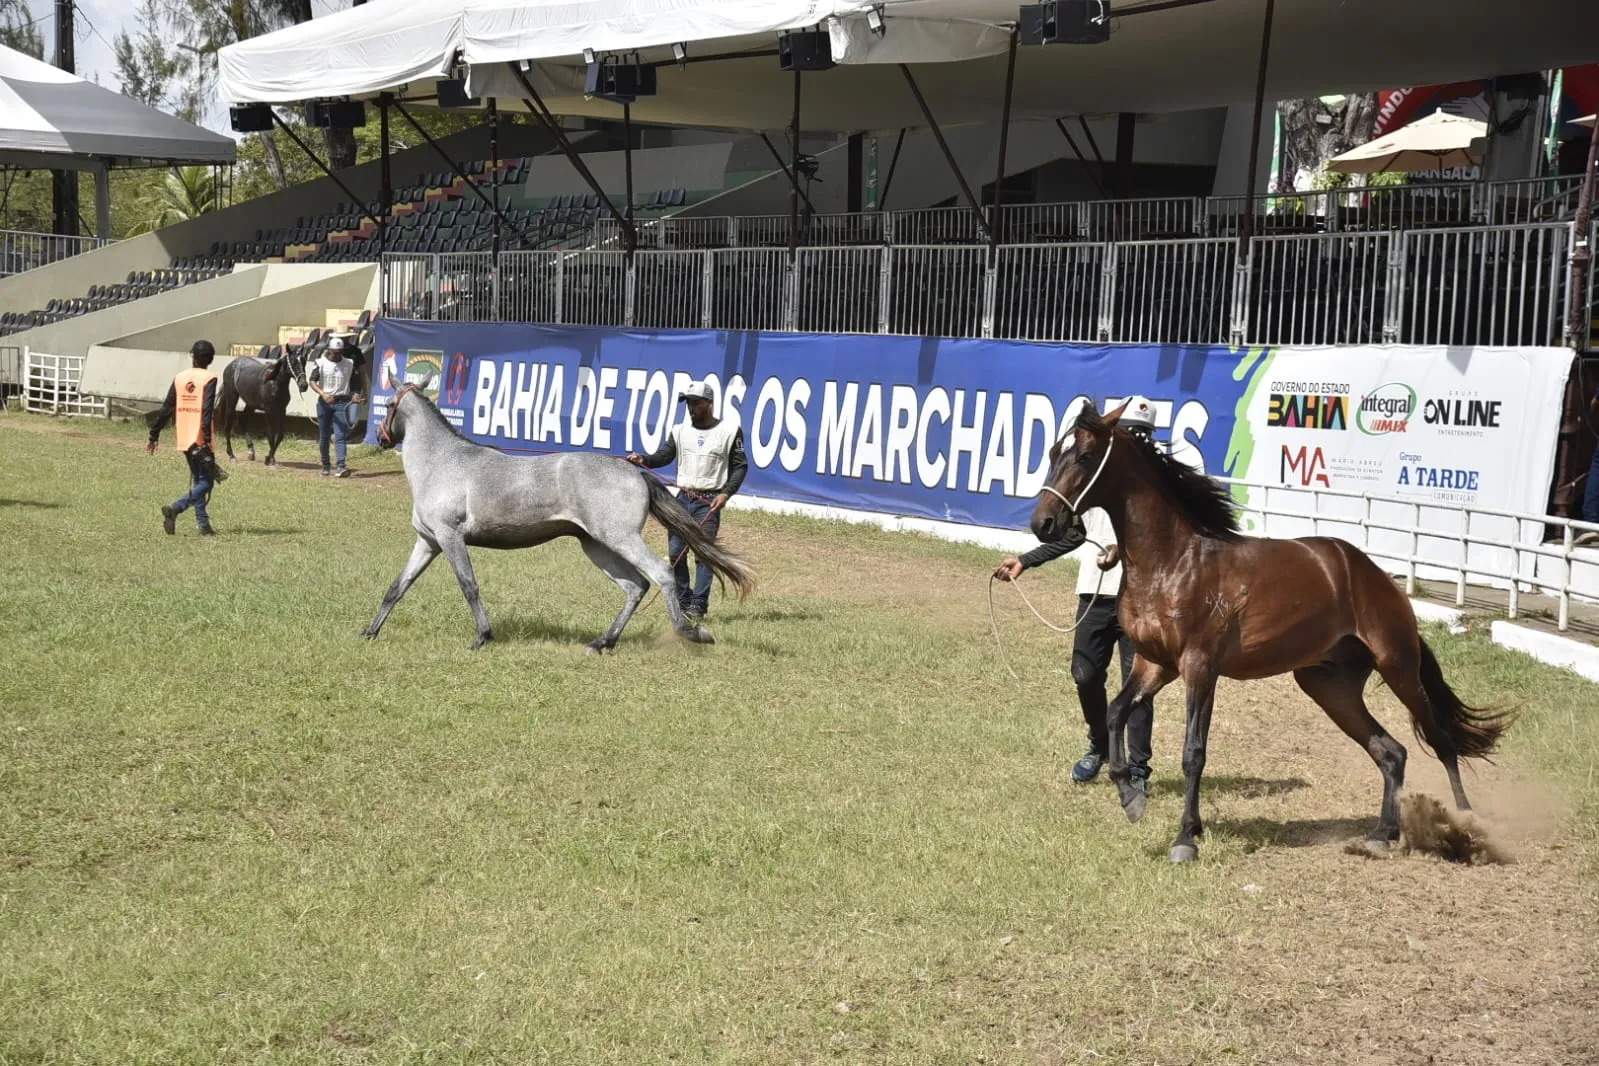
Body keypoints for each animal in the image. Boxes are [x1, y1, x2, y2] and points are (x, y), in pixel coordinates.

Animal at [362, 383, 754, 652]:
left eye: (388, 405)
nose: (380, 437)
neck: (442, 463)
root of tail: (633, 470)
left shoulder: (450, 537)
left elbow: (468, 585)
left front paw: (482, 637)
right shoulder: (428, 541)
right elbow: (397, 587)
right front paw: (369, 631)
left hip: (620, 538)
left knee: (659, 573)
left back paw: (690, 631)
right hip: (596, 545)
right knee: (635, 586)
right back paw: (602, 642)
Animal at [1029, 404, 1503, 863]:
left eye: (1085, 456)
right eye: (1053, 453)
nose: (1043, 523)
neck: (1173, 560)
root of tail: (1378, 578)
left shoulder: (1200, 668)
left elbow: (1193, 752)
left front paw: (1186, 837)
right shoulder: (1155, 664)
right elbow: (1115, 712)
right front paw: (1132, 799)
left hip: (1399, 667)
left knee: (1441, 742)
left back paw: (1466, 829)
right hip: (1329, 686)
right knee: (1391, 752)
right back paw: (1383, 834)